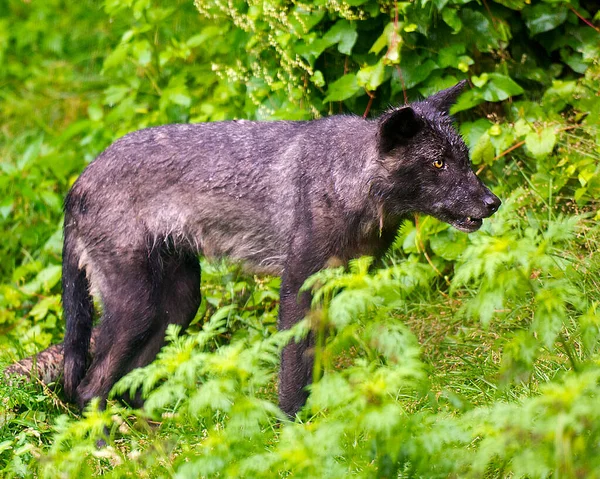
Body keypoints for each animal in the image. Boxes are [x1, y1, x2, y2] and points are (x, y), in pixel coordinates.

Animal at [62, 81, 502, 416]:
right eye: (439, 164)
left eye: (464, 159)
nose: (492, 202)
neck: (346, 182)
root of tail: (77, 183)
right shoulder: (296, 287)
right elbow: (293, 369)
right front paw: (294, 428)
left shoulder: (331, 288)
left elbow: (314, 364)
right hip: (137, 309)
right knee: (89, 389)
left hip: (178, 305)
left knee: (130, 385)